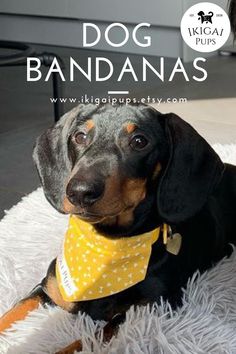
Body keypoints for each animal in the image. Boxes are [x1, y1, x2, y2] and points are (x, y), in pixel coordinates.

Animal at [0, 103, 236, 354]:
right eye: (79, 136)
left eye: (139, 141)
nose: (79, 191)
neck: (108, 244)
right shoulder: (48, 288)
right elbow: (11, 313)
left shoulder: (149, 307)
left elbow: (85, 340)